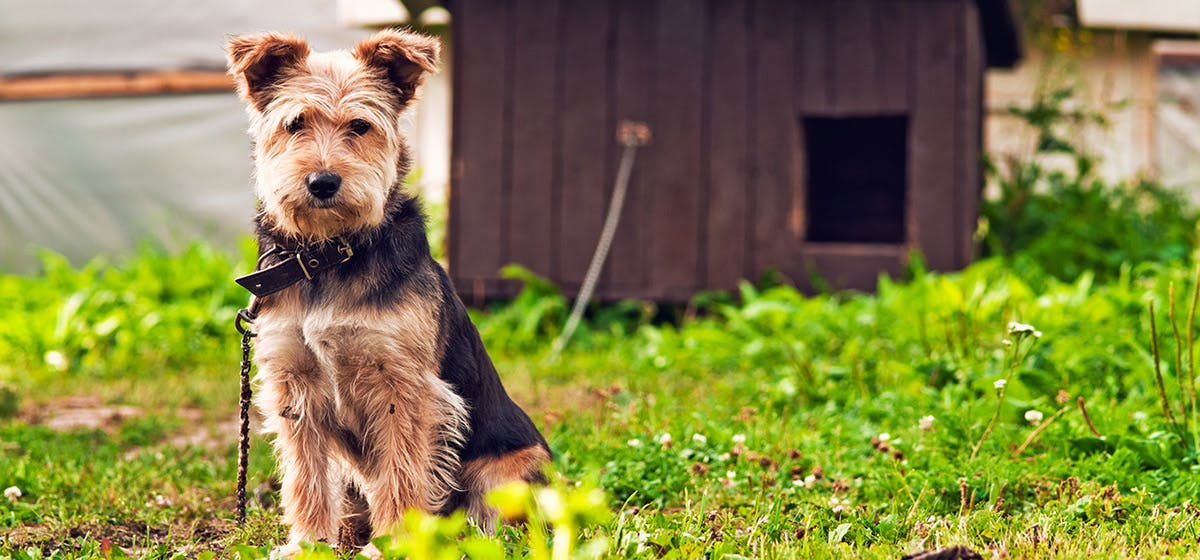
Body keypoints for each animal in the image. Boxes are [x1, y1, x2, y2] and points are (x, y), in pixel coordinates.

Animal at [224, 28, 549, 554]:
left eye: (359, 126)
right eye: (295, 123)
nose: (322, 182)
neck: (330, 255)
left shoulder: (403, 386)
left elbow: (401, 471)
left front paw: (393, 543)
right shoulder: (295, 385)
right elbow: (307, 474)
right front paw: (307, 544)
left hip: (509, 475)